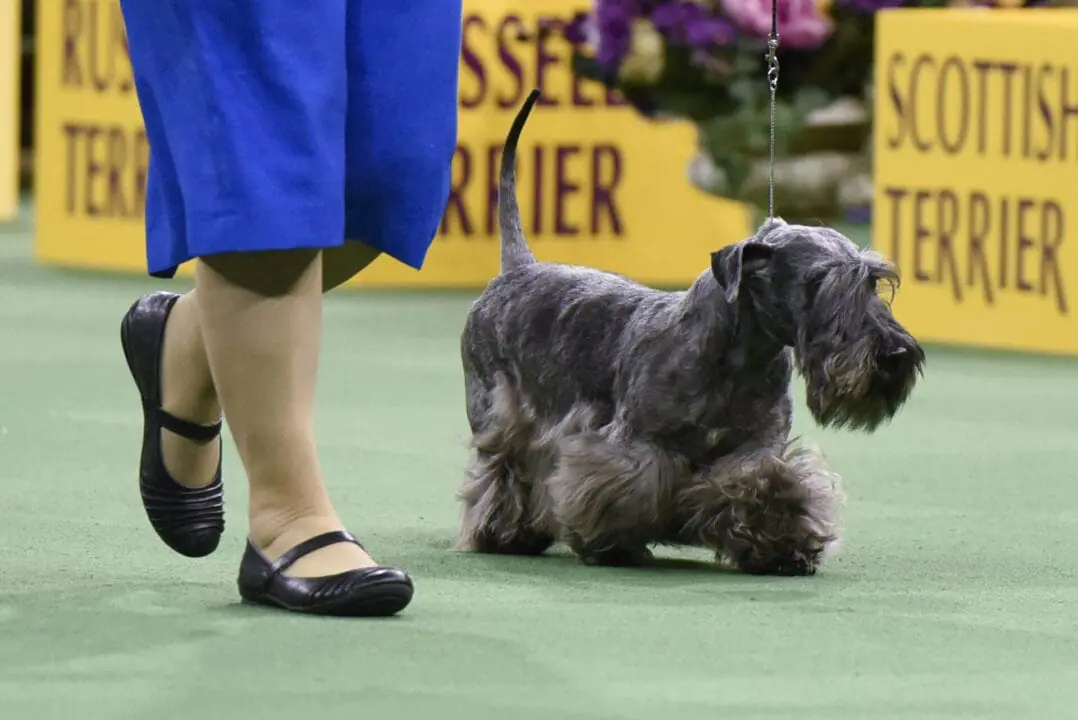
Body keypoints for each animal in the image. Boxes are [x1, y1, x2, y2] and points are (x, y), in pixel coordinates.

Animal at [459, 89, 922, 577]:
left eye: (873, 283)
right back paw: (505, 533)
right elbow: (623, 487)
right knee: (501, 469)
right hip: (500, 414)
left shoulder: (756, 449)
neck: (739, 358)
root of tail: (517, 268)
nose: (894, 355)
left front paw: (782, 546)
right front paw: (614, 544)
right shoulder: (636, 445)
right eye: (819, 282)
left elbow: (767, 487)